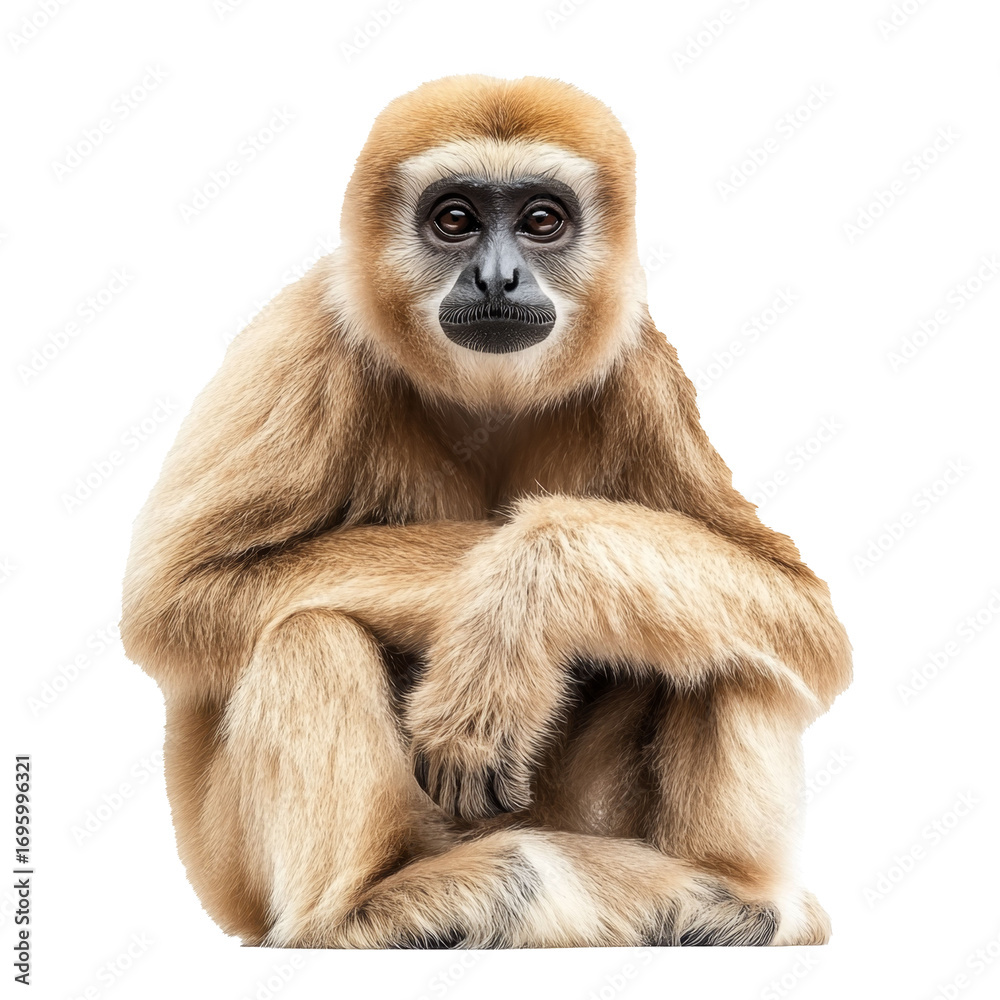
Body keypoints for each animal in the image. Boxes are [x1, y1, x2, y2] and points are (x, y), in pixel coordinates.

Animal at [120, 75, 852, 949]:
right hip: (234, 873)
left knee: (731, 645)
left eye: (541, 221)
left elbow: (801, 615)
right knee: (309, 632)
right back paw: (361, 910)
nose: (497, 278)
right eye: (455, 219)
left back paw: (737, 901)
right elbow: (176, 603)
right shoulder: (303, 338)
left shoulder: (642, 371)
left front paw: (523, 594)